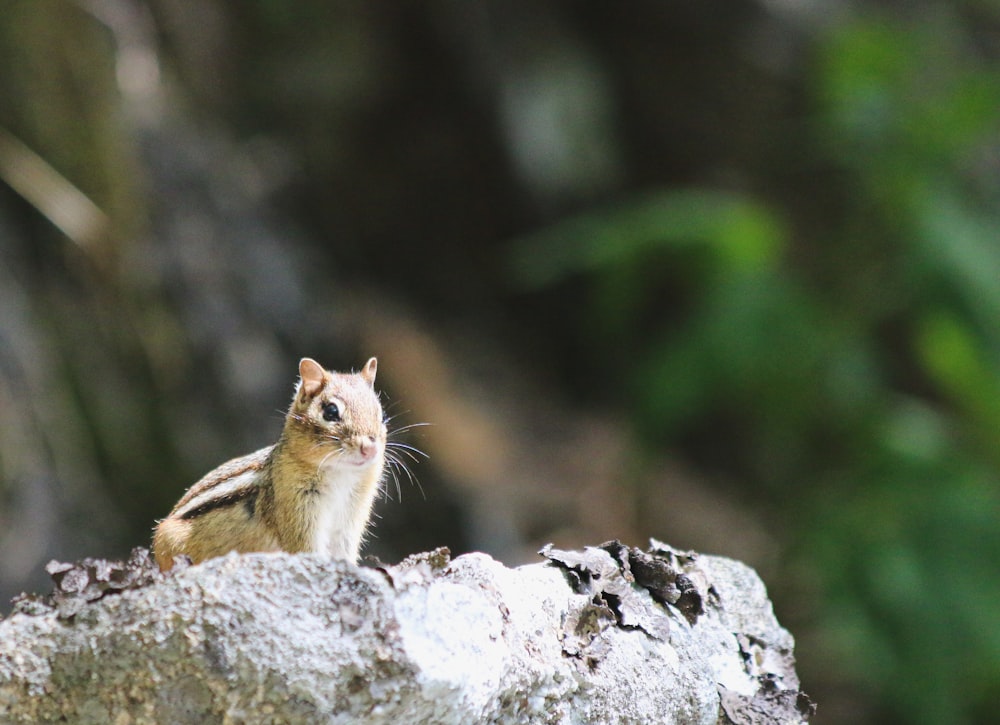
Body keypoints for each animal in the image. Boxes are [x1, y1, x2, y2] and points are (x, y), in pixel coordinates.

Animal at [152, 356, 394, 572]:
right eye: (331, 412)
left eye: (381, 414)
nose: (370, 449)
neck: (342, 474)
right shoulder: (298, 510)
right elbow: (307, 549)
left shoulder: (351, 516)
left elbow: (343, 550)